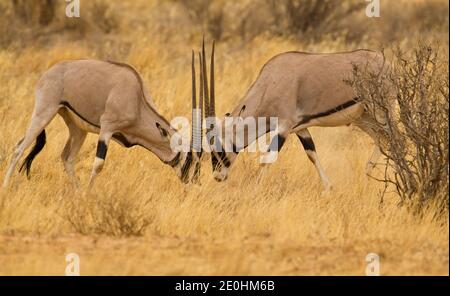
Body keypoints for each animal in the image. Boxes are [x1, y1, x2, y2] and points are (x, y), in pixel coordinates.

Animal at [2, 57, 204, 187]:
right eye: (188, 157)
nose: (193, 183)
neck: (137, 98)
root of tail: (48, 73)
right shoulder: (107, 128)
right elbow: (99, 164)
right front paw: (90, 193)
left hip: (77, 129)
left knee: (67, 158)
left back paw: (77, 191)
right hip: (44, 112)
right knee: (19, 149)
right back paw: (6, 187)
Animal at [200, 44, 390, 190]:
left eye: (218, 146)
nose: (217, 176)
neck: (270, 84)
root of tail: (384, 61)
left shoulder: (284, 127)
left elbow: (268, 158)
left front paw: (253, 190)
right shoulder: (299, 128)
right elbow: (311, 153)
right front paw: (328, 188)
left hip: (381, 112)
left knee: (393, 138)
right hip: (363, 119)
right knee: (382, 140)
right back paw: (366, 174)